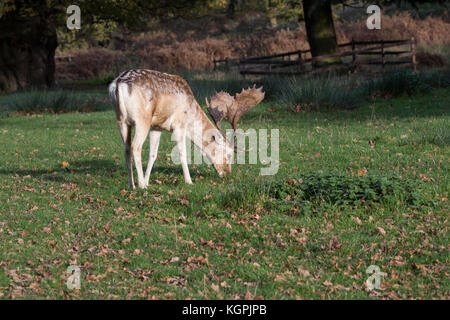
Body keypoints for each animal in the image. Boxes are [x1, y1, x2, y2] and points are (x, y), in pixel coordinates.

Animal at [108, 69, 264, 189]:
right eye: (230, 155)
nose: (227, 173)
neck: (191, 114)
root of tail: (117, 85)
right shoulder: (179, 125)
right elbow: (182, 153)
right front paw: (189, 181)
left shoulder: (157, 126)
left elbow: (153, 154)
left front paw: (147, 181)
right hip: (142, 119)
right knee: (135, 147)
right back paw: (140, 185)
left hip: (121, 120)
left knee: (126, 148)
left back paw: (132, 185)